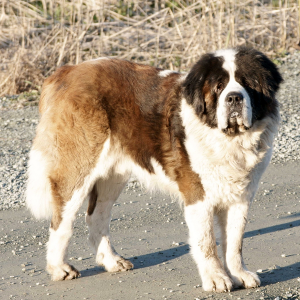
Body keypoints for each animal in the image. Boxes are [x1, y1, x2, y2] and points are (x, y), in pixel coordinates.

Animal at [25, 46, 282, 290]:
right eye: (219, 87)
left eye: (247, 84)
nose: (234, 98)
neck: (229, 139)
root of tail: (67, 71)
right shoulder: (198, 195)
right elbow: (207, 242)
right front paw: (217, 279)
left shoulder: (241, 196)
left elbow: (235, 241)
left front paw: (239, 274)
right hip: (80, 167)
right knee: (62, 220)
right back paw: (59, 268)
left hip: (113, 175)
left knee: (96, 216)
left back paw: (111, 261)